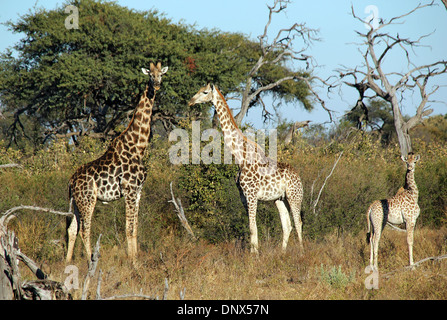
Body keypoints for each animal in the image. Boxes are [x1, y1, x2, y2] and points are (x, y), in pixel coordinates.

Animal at [67, 61, 169, 264]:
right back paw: (91, 260)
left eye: (161, 74)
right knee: (85, 230)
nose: (157, 85)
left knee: (72, 229)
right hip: (88, 200)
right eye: (150, 75)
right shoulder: (129, 189)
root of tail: (71, 182)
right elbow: (128, 229)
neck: (139, 145)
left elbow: (135, 228)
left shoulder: (138, 191)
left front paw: (136, 260)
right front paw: (133, 263)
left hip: (76, 202)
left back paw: (66, 263)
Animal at [189, 84, 304, 254]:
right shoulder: (243, 196)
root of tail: (299, 177)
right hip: (279, 199)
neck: (240, 158)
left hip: (294, 196)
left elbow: (253, 227)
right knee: (287, 225)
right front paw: (254, 253)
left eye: (205, 92)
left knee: (298, 223)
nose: (191, 101)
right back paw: (282, 252)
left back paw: (302, 252)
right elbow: (251, 227)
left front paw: (254, 256)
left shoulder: (252, 195)